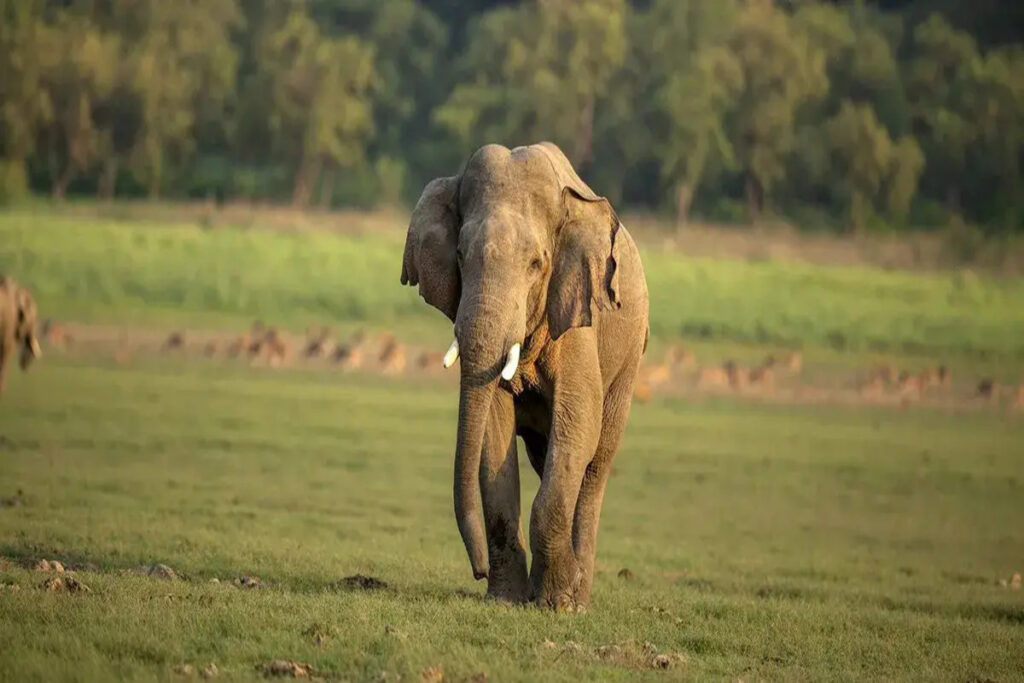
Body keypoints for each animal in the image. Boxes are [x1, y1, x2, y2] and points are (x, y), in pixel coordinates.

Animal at [400, 142, 649, 610]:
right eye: (460, 257)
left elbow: (578, 422)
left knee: (596, 463)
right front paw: (506, 600)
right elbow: (493, 429)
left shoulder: (575, 314)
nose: (478, 571)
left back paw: (578, 596)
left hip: (629, 360)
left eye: (536, 264)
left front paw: (558, 604)